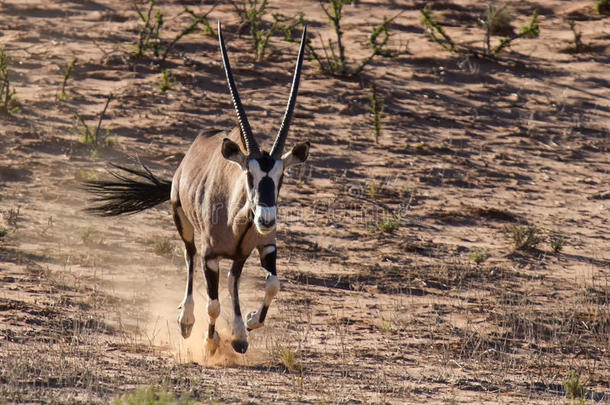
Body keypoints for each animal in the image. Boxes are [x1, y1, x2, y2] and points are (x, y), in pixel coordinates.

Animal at [84, 21, 308, 354]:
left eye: (281, 177)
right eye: (249, 174)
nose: (266, 220)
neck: (236, 217)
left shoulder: (265, 246)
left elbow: (272, 285)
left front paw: (248, 324)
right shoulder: (210, 256)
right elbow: (212, 304)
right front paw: (209, 341)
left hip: (238, 254)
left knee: (233, 280)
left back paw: (238, 333)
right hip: (184, 223)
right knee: (189, 258)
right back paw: (187, 321)